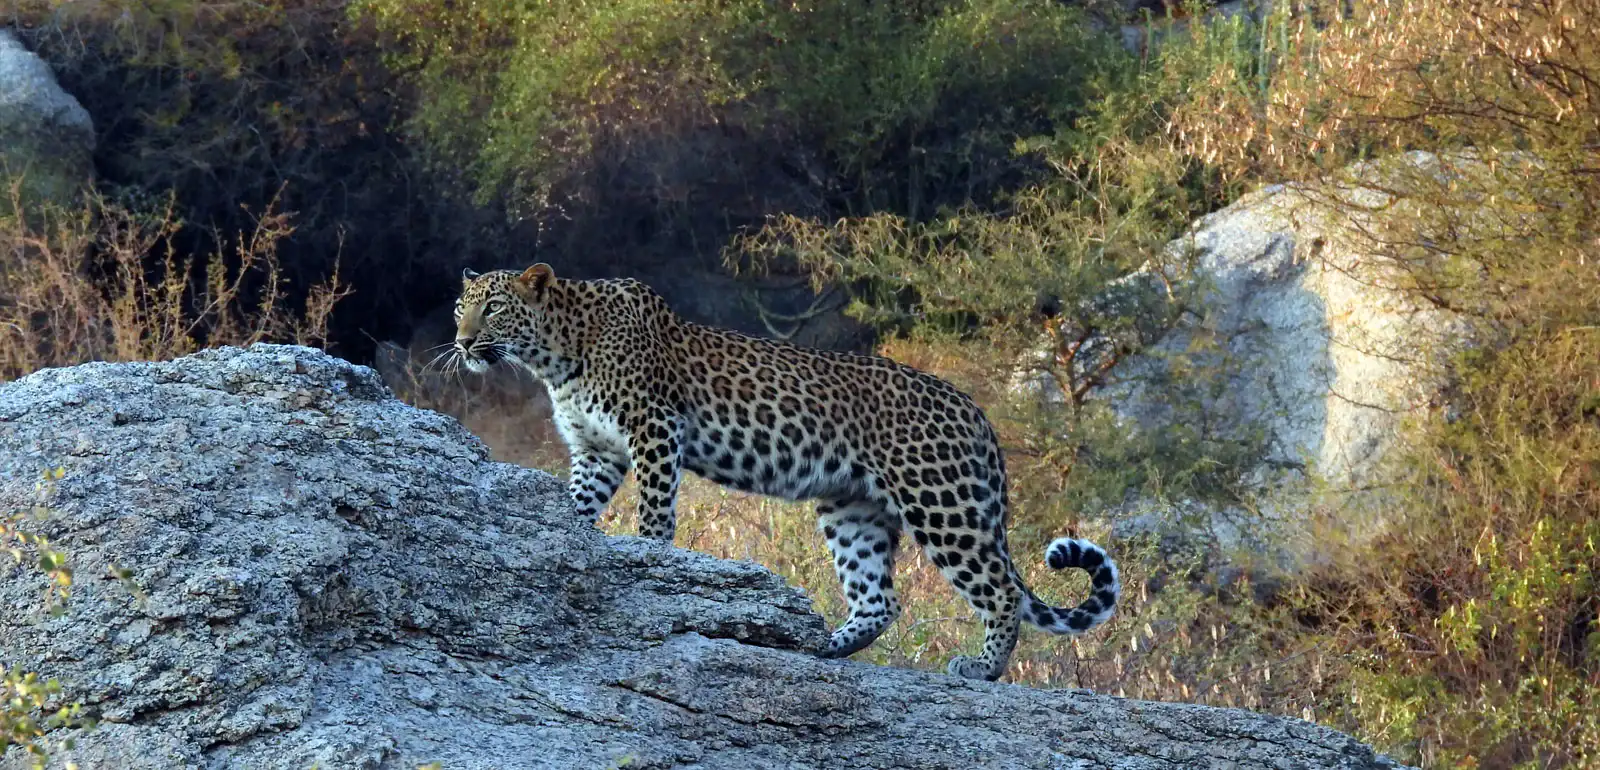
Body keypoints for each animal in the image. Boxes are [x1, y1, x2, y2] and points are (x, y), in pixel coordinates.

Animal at [451, 262, 1120, 678]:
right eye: (461, 307)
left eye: (493, 309)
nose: (459, 341)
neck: (555, 354)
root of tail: (975, 409)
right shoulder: (597, 452)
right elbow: (577, 507)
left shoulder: (655, 431)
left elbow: (655, 514)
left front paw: (654, 561)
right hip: (853, 509)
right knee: (880, 599)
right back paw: (820, 646)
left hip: (941, 501)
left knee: (999, 588)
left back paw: (983, 668)